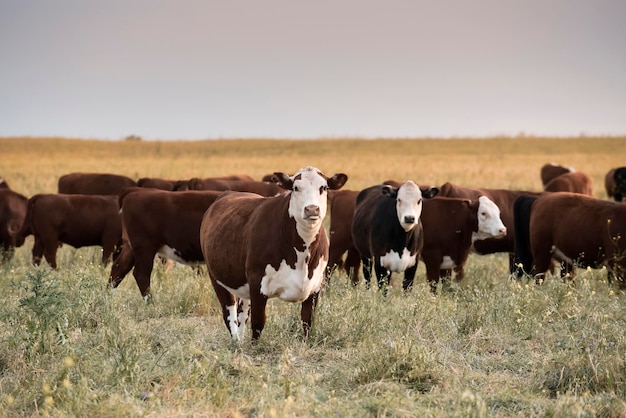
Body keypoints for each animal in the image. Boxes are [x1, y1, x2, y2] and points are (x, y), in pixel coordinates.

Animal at [200, 165, 346, 342]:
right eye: (295, 188)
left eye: (323, 188)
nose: (312, 209)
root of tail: (227, 193)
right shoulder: (257, 282)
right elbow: (258, 322)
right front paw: (254, 347)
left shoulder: (316, 285)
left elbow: (307, 321)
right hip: (217, 277)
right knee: (229, 313)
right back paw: (236, 341)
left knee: (242, 313)